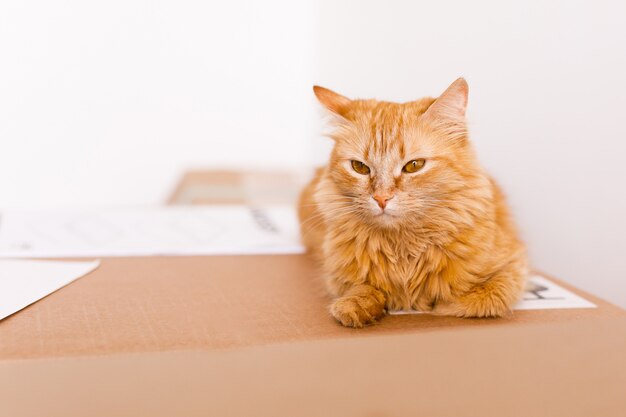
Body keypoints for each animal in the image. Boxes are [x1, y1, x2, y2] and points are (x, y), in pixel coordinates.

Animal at [298, 77, 528, 324]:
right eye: (359, 167)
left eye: (414, 166)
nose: (381, 198)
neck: (403, 250)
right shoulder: (335, 274)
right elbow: (360, 288)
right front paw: (356, 305)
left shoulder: (514, 265)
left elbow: (480, 299)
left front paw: (436, 305)